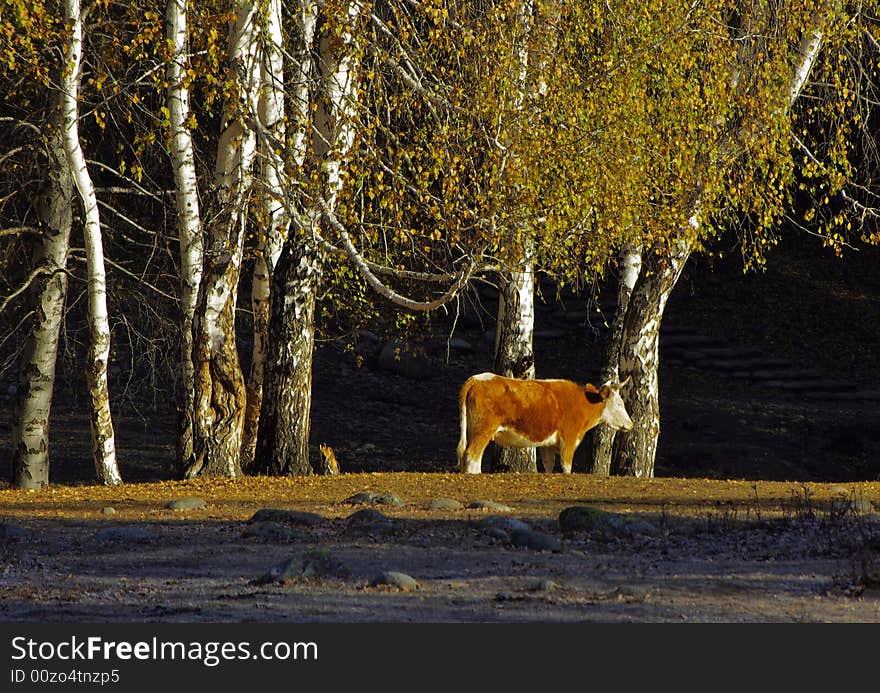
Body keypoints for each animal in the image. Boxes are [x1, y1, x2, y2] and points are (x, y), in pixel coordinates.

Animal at [460, 374, 632, 476]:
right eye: (619, 404)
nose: (631, 424)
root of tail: (476, 379)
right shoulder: (568, 440)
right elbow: (566, 467)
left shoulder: (547, 445)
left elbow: (549, 465)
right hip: (483, 430)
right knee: (472, 456)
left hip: (472, 431)